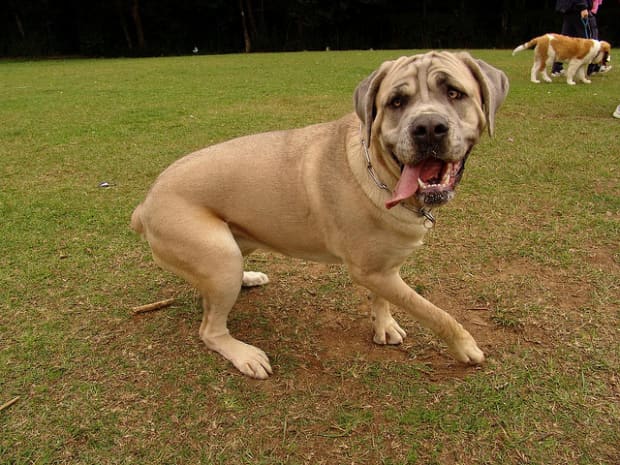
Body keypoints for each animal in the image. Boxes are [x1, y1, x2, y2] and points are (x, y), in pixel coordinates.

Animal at [132, 51, 508, 376]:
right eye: (396, 102)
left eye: (454, 92)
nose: (428, 128)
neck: (381, 174)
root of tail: (146, 203)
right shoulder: (370, 271)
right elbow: (434, 312)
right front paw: (464, 346)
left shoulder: (382, 268)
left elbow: (385, 299)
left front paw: (384, 325)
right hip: (218, 255)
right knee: (211, 330)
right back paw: (244, 354)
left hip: (233, 243)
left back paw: (248, 278)